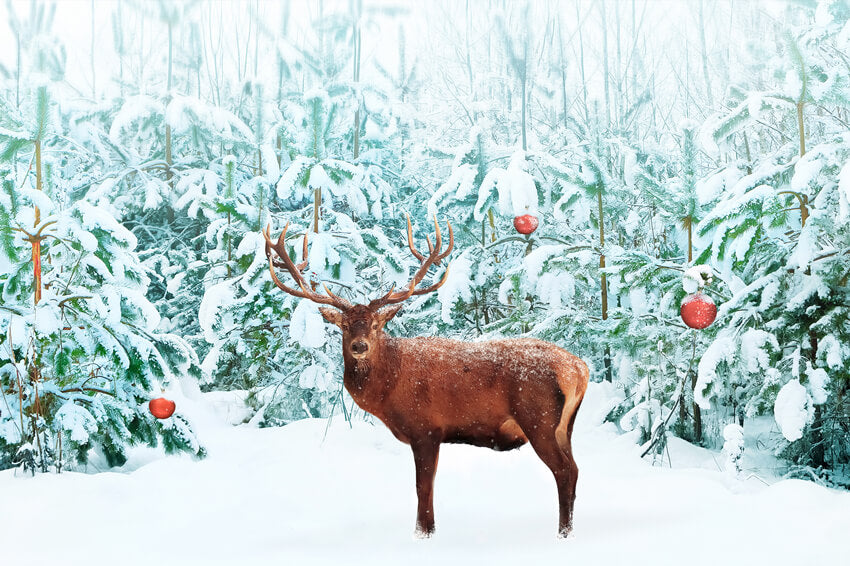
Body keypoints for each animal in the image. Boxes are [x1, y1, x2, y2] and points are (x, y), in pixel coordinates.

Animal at [262, 219, 588, 540]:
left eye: (376, 325)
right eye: (343, 326)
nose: (359, 346)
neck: (388, 392)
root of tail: (578, 369)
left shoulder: (426, 428)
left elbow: (423, 487)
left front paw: (424, 533)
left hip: (538, 418)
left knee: (563, 470)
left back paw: (562, 534)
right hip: (565, 426)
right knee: (574, 469)